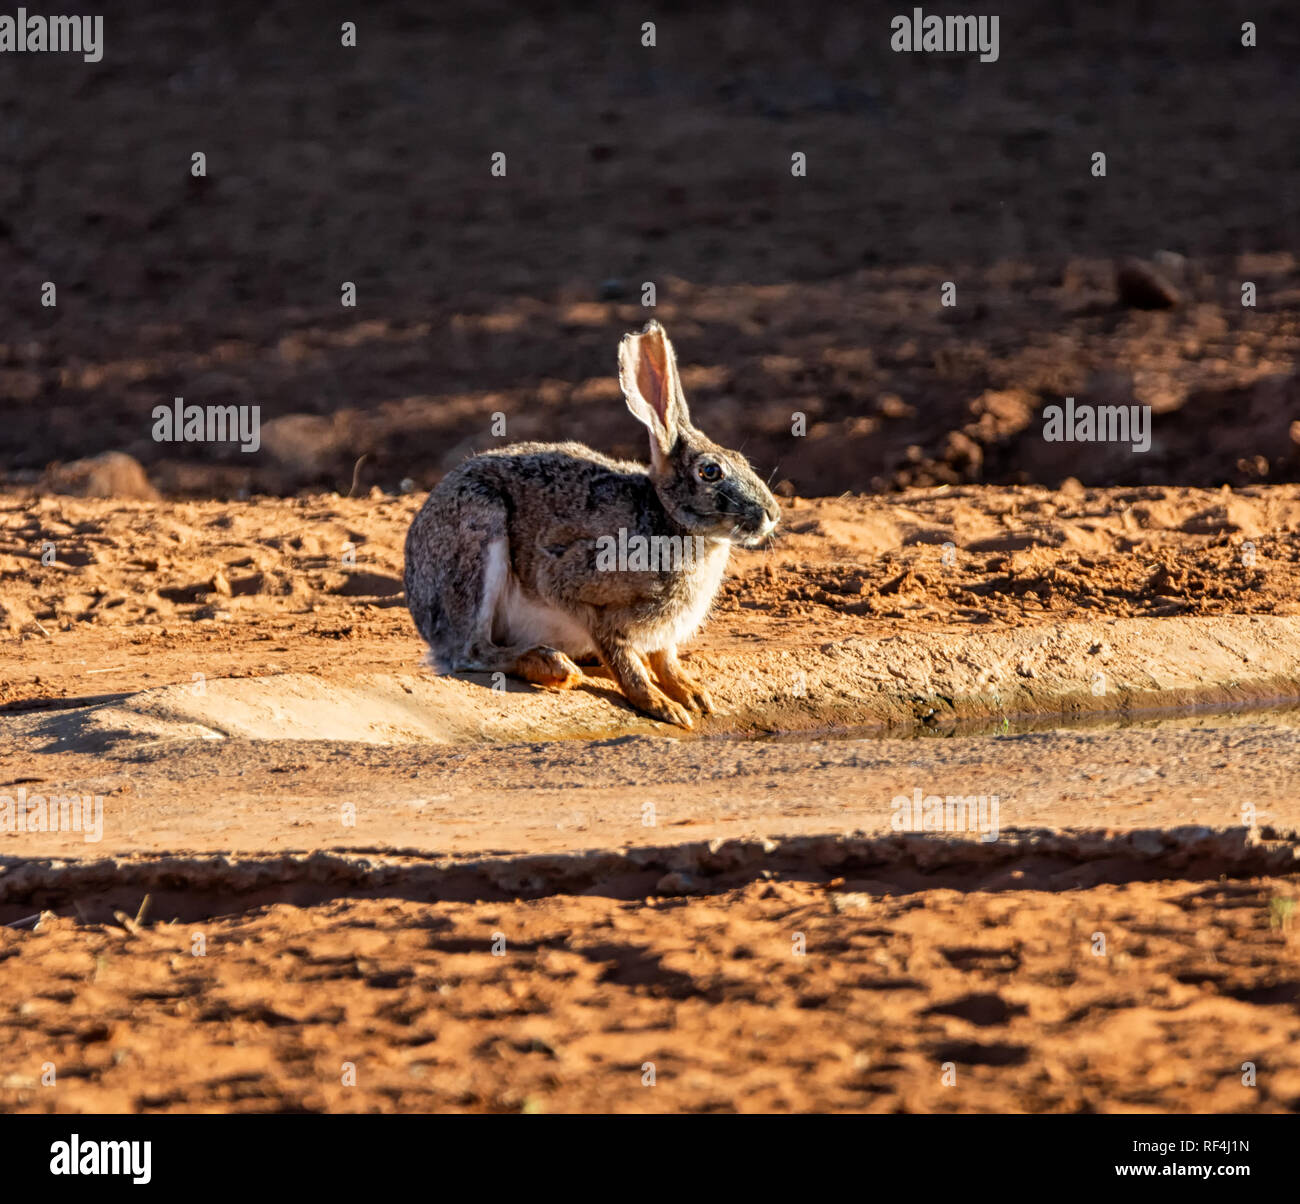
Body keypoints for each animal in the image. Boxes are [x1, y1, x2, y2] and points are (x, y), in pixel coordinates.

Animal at [403, 320, 780, 728]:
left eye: (741, 459)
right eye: (710, 472)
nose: (772, 514)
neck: (667, 518)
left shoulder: (663, 633)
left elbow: (665, 660)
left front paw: (694, 694)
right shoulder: (577, 590)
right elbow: (622, 658)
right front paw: (663, 707)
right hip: (479, 530)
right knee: (470, 650)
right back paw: (550, 665)